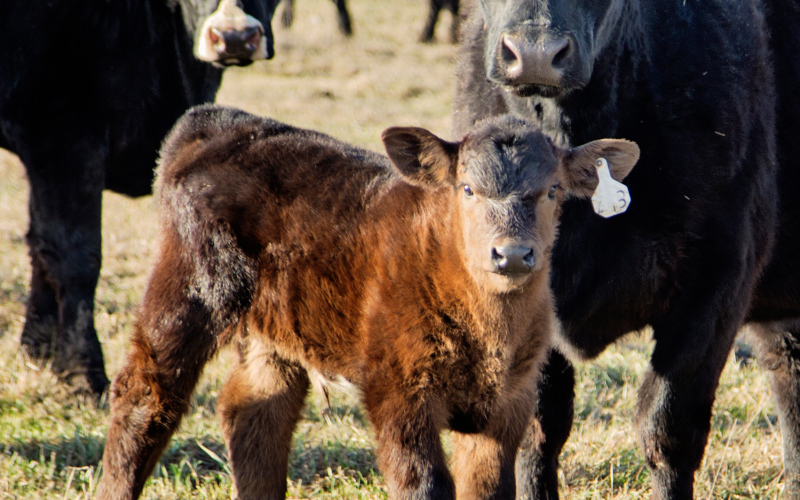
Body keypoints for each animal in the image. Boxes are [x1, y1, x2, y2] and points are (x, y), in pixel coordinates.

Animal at [0, 0, 282, 395]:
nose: (235, 37)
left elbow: (40, 247)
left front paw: (37, 349)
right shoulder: (63, 138)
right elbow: (74, 258)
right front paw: (83, 374)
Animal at [95, 105, 639, 499]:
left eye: (552, 191)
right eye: (467, 188)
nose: (511, 254)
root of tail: (218, 122)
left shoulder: (512, 400)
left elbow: (489, 489)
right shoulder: (398, 391)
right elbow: (425, 485)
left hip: (275, 328)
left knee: (254, 410)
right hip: (188, 291)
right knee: (146, 396)